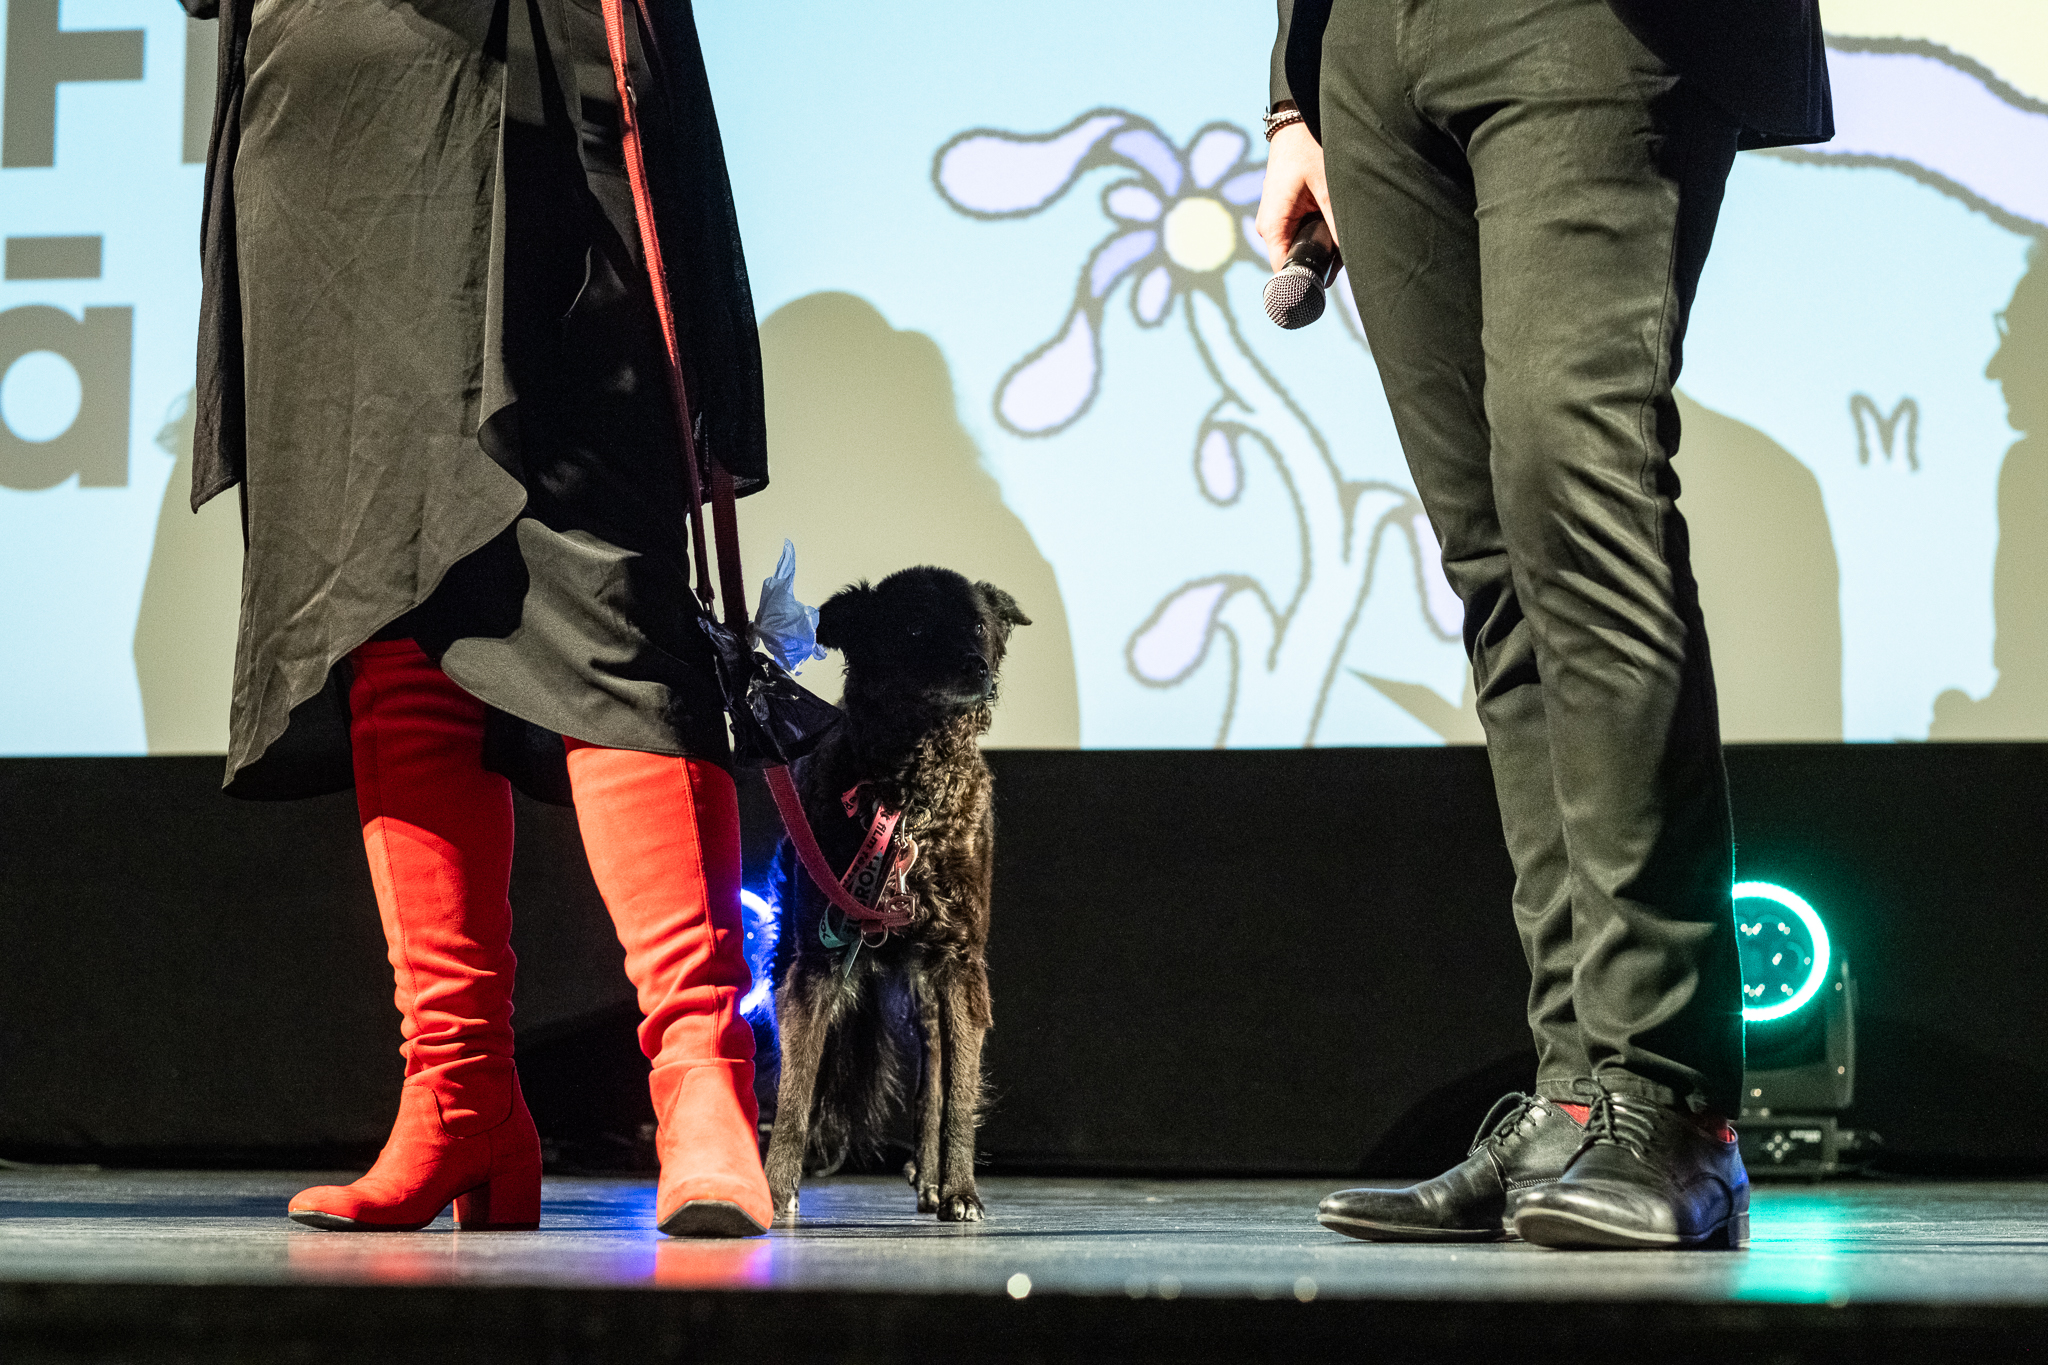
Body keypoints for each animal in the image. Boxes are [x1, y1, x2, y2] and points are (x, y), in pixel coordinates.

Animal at [761, 566, 1028, 1222]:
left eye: (978, 626)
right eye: (913, 628)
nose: (976, 667)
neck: (909, 798)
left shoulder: (961, 963)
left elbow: (959, 1092)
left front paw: (960, 1191)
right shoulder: (818, 964)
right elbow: (798, 1087)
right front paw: (777, 1189)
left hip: (928, 991)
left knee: (934, 1075)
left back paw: (931, 1178)